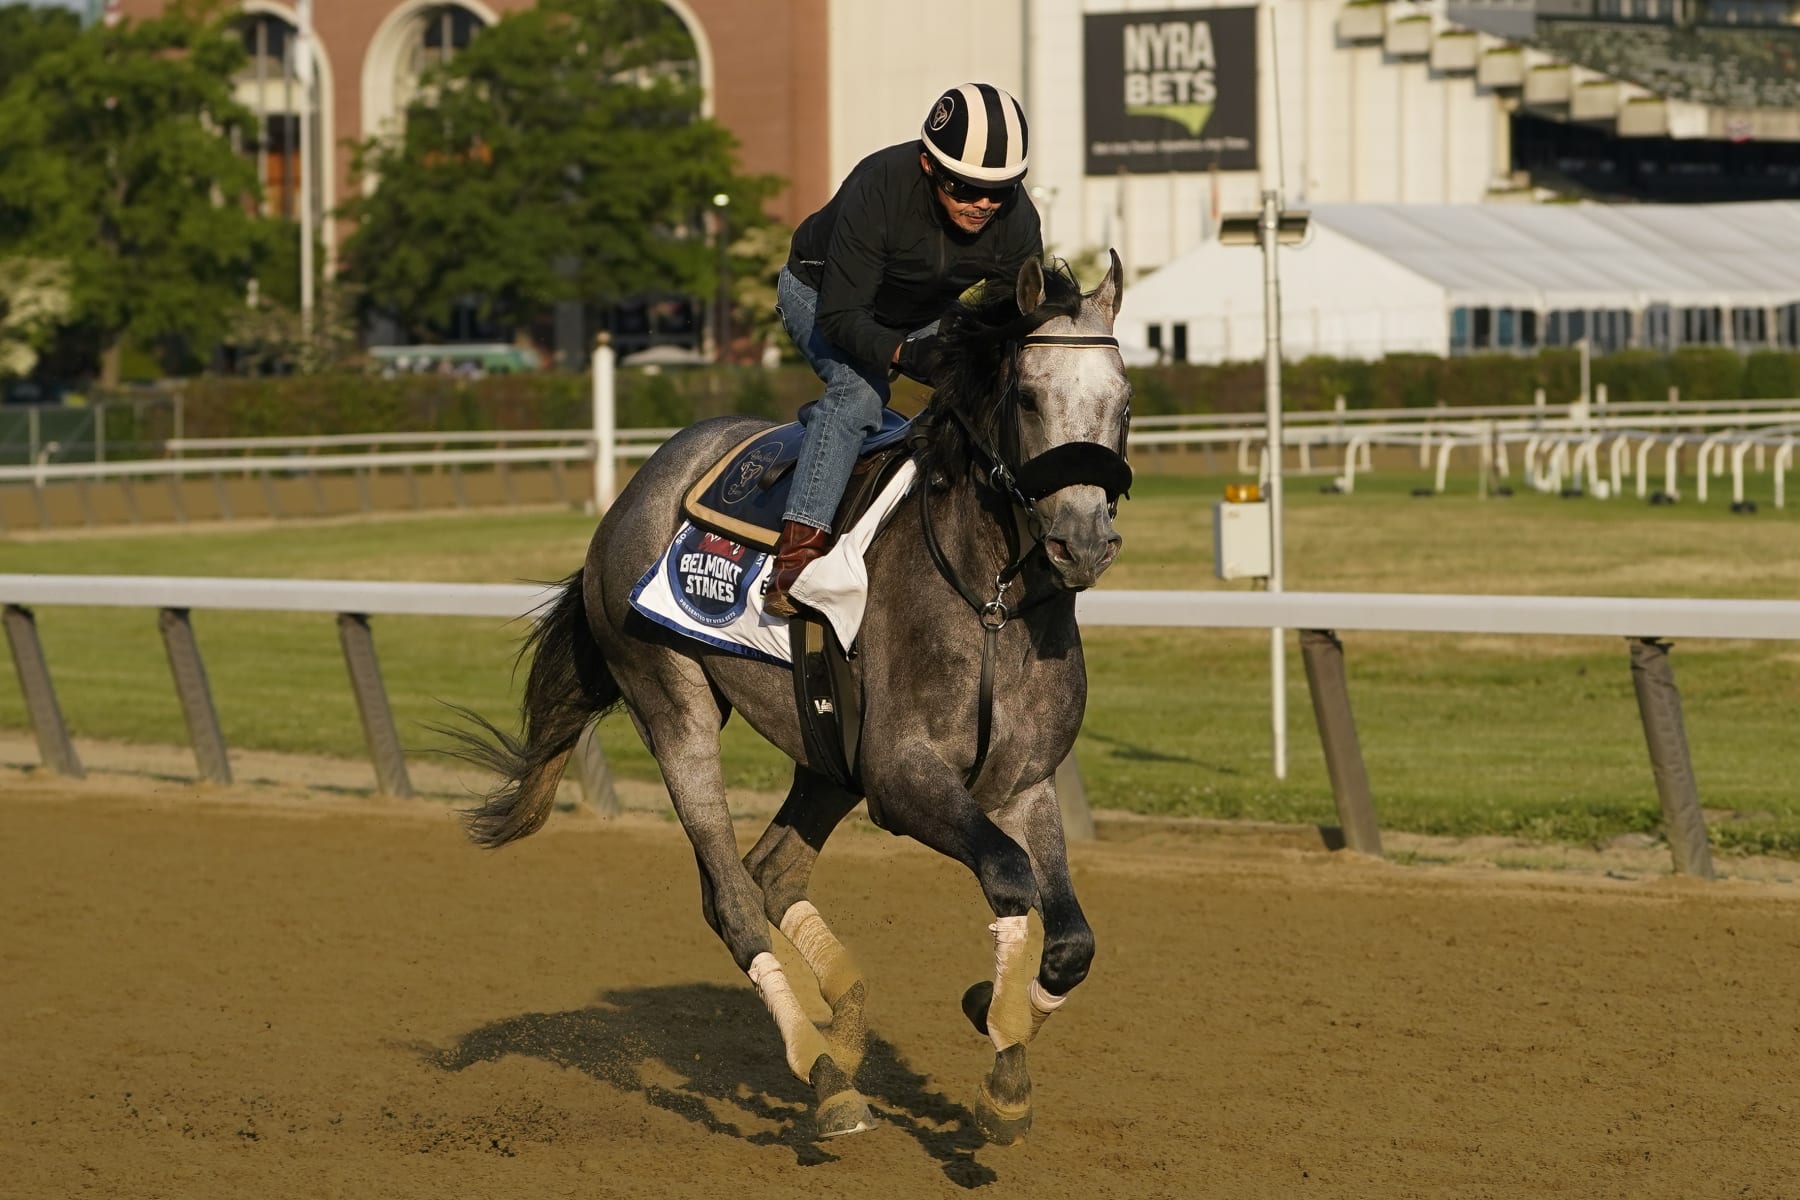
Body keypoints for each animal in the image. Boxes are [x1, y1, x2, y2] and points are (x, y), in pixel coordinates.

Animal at [449, 251, 1133, 1143]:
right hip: (674, 705)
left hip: (825, 751)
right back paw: (823, 1071)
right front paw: (1000, 1042)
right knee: (734, 897)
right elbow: (1010, 877)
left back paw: (838, 1018)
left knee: (772, 871)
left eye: (1123, 399)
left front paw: (998, 1022)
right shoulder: (902, 779)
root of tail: (639, 485)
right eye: (1027, 396)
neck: (989, 600)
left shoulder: (1022, 782)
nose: (1082, 541)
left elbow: (1072, 940)